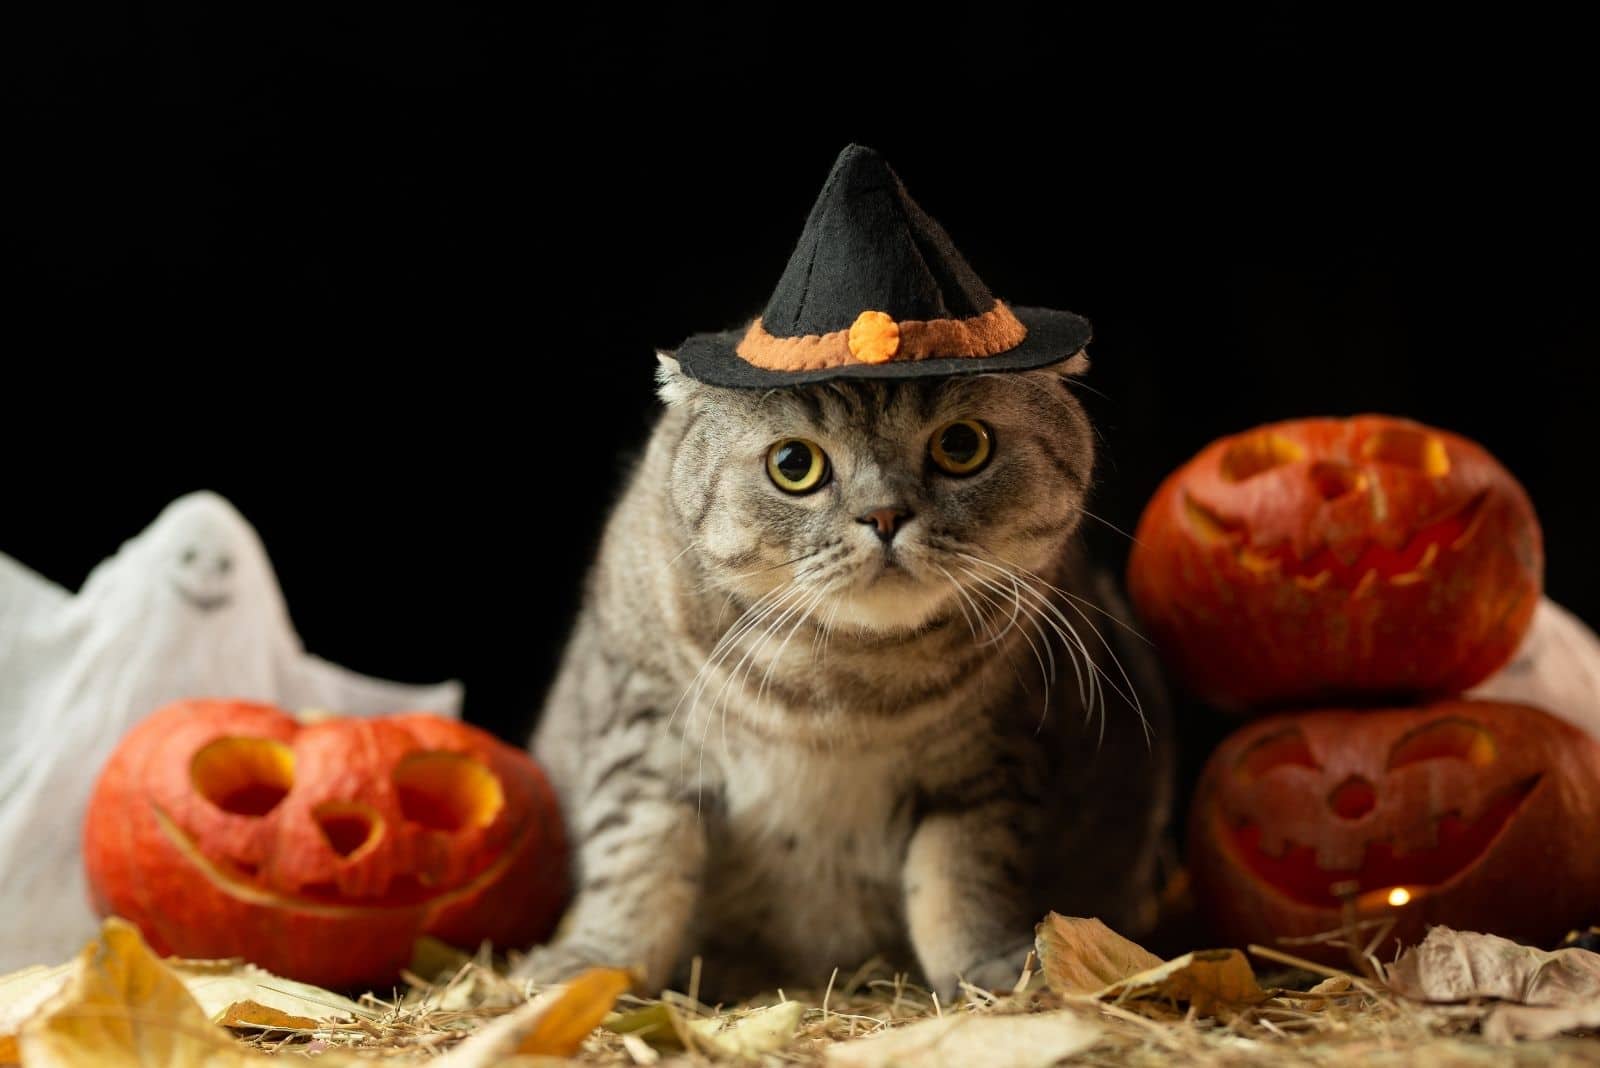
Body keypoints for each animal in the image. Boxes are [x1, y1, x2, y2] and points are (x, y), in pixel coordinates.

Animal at [518, 350, 1171, 1004]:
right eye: (793, 464)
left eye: (962, 445)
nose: (884, 514)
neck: (844, 686)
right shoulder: (644, 724)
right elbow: (636, 856)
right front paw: (596, 966)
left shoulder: (991, 759)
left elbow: (962, 879)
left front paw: (988, 974)